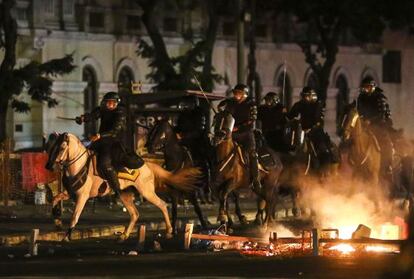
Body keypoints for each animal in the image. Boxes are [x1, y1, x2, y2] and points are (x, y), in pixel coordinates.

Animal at [45, 133, 201, 241]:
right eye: (51, 147)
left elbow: (74, 217)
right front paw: (56, 218)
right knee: (134, 214)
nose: (49, 166)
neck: (80, 165)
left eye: (61, 147)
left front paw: (66, 237)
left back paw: (169, 231)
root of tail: (148, 166)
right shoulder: (70, 193)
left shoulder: (82, 196)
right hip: (124, 194)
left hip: (146, 192)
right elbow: (55, 198)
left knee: (162, 205)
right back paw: (124, 235)